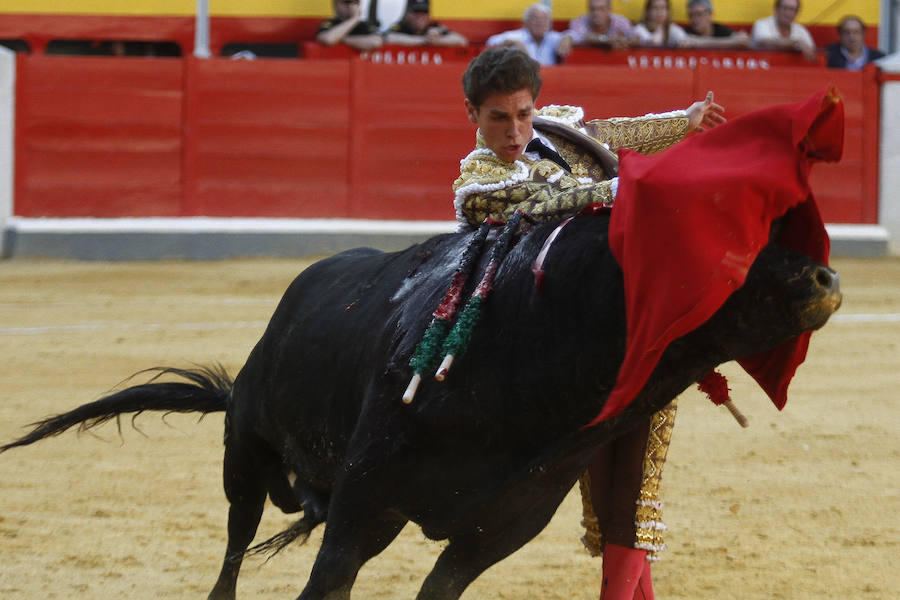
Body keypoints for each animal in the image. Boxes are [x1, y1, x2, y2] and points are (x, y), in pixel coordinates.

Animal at [1, 210, 844, 596]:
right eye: (719, 240)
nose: (824, 278)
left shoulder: (491, 534)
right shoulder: (360, 506)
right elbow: (324, 582)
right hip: (247, 450)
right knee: (236, 545)